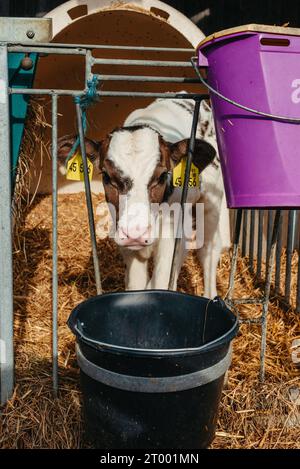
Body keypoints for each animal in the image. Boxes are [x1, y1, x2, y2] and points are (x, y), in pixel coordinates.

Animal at [58, 97, 230, 298]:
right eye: (107, 176)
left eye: (162, 176)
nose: (136, 233)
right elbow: (137, 285)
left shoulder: (174, 234)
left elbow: (162, 282)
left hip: (212, 200)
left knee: (209, 249)